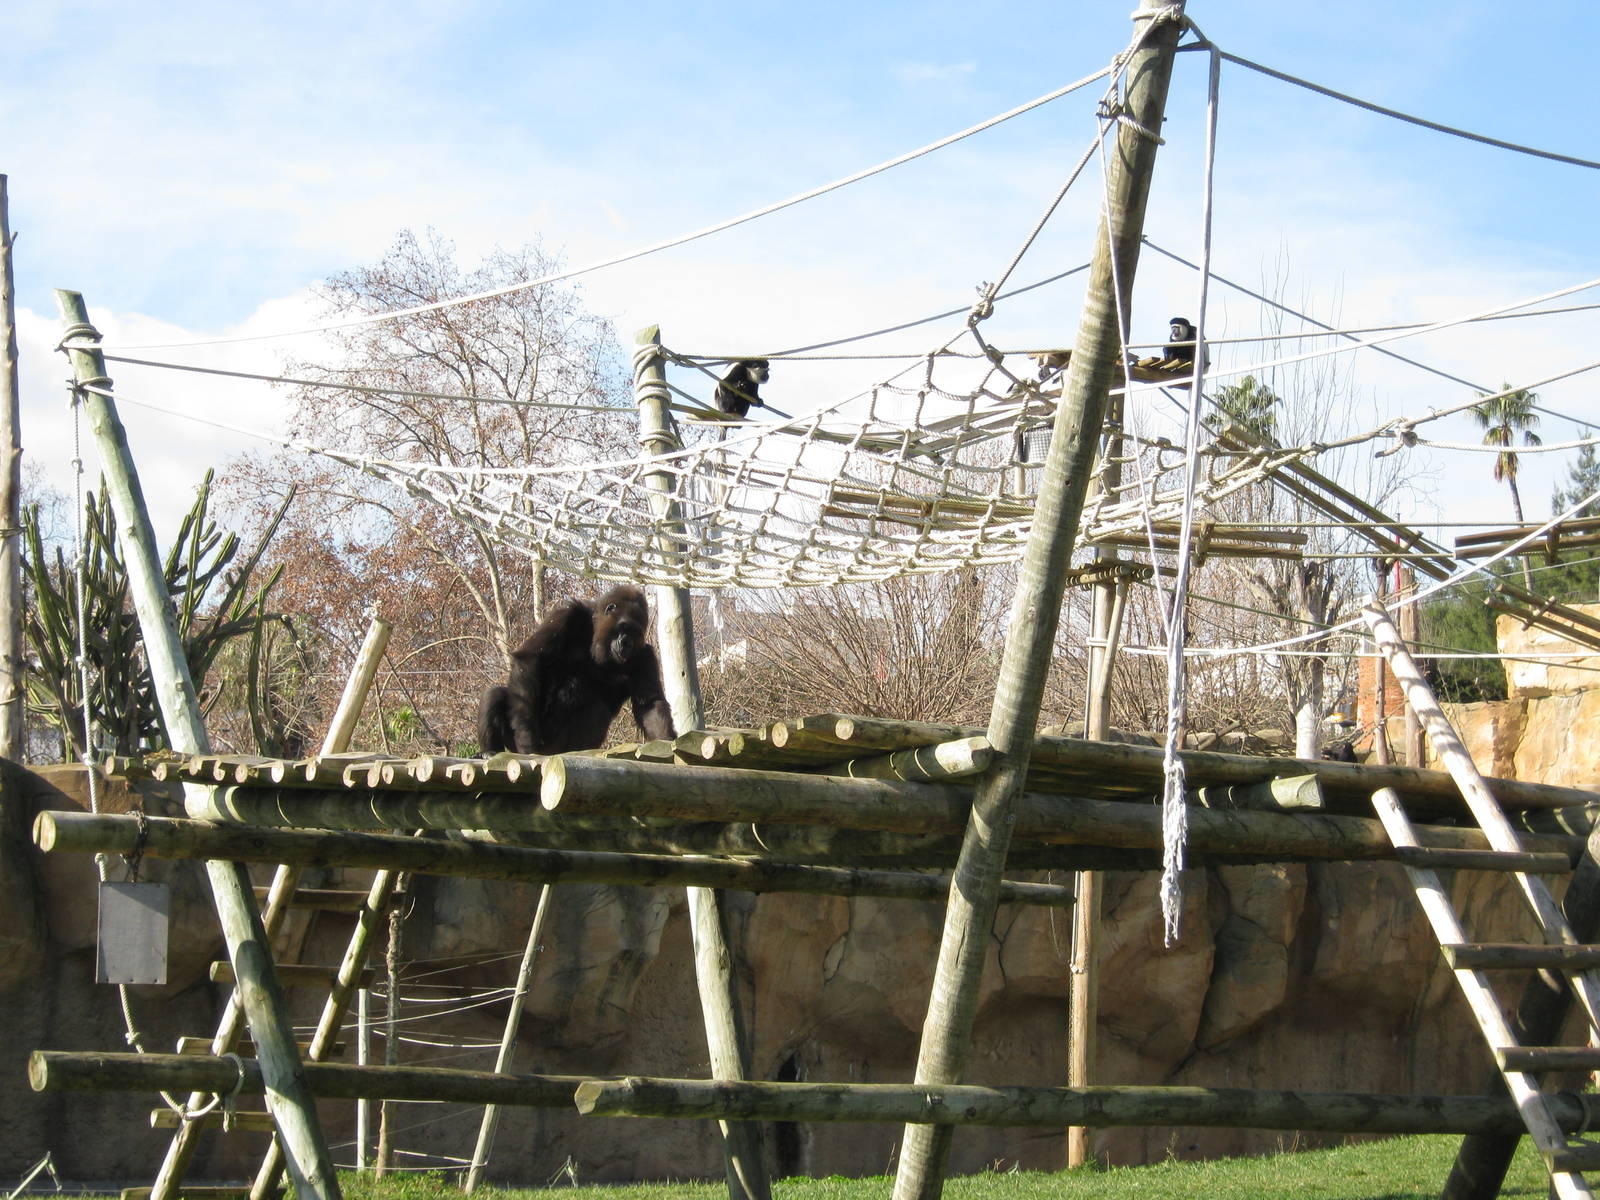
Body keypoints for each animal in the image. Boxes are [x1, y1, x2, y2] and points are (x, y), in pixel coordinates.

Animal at [477, 584, 676, 755]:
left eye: (636, 633)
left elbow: (649, 704)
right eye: (625, 627)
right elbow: (531, 658)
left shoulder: (645, 655)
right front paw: (525, 735)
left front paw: (666, 738)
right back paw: (489, 751)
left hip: (555, 747)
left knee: (597, 712)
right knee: (495, 694)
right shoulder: (566, 614)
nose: (627, 643)